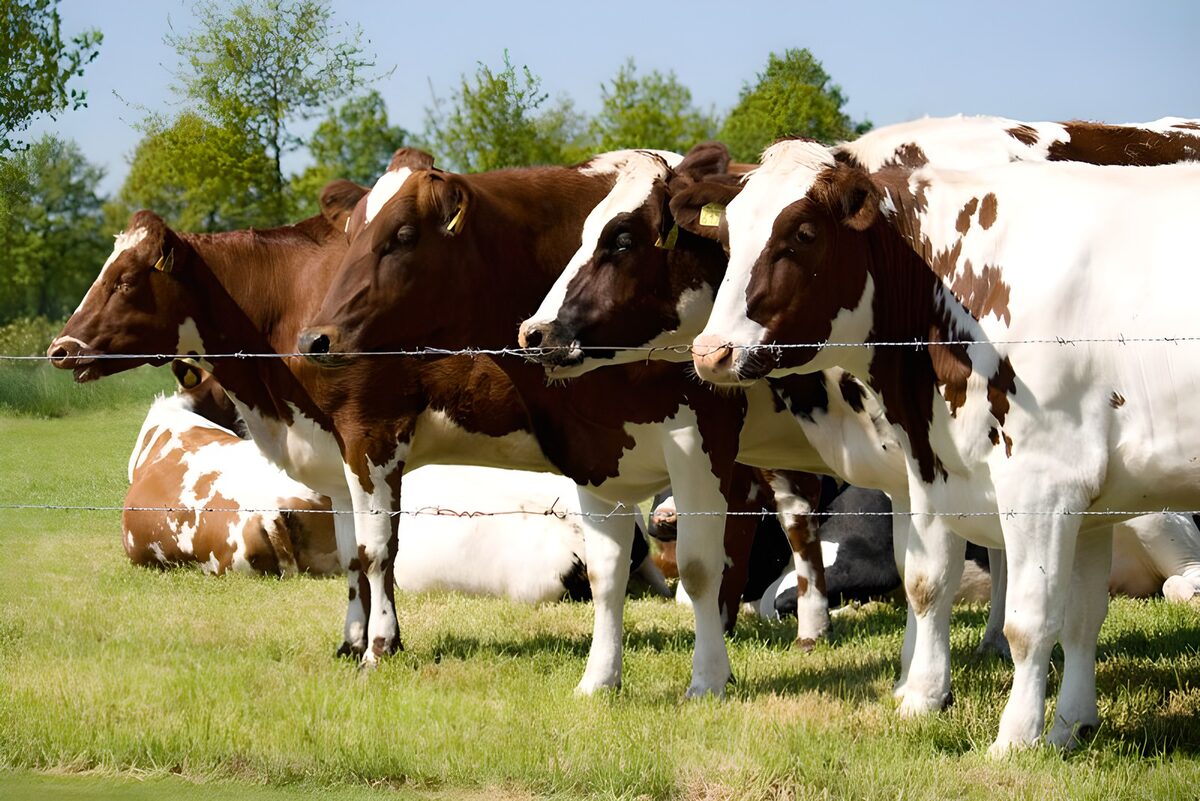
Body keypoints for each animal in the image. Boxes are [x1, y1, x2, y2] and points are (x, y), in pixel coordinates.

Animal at [689, 137, 1200, 754]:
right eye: (729, 235)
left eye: (803, 234)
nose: (710, 352)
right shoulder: (995, 482)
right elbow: (963, 593)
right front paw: (1059, 727)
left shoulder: (1044, 482)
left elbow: (1030, 620)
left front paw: (1018, 737)